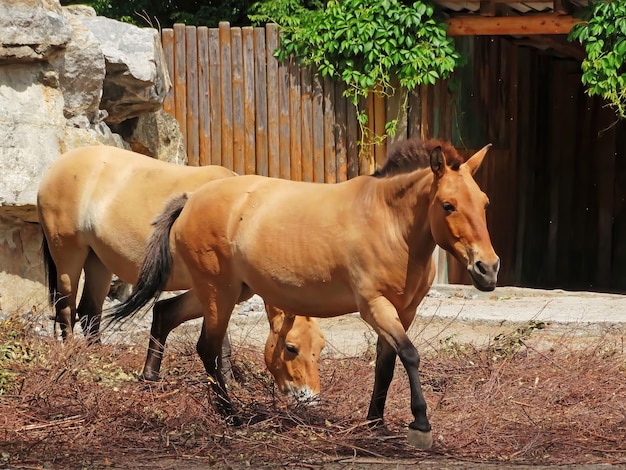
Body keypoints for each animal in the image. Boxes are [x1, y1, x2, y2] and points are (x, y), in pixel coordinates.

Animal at [36, 146, 324, 400]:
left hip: (98, 260)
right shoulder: (217, 288)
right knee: (66, 308)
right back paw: (71, 355)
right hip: (68, 253)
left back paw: (97, 357)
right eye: (291, 348)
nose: (307, 395)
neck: (241, 214)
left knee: (90, 310)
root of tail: (55, 168)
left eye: (319, 347)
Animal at [108, 138, 498, 450]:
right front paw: (420, 425)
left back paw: (151, 380)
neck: (387, 223)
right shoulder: (375, 307)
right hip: (220, 293)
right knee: (207, 347)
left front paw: (376, 423)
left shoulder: (404, 311)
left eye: (484, 203)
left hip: (227, 291)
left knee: (166, 312)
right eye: (448, 205)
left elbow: (386, 365)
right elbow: (411, 355)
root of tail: (191, 200)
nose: (488, 269)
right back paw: (231, 416)